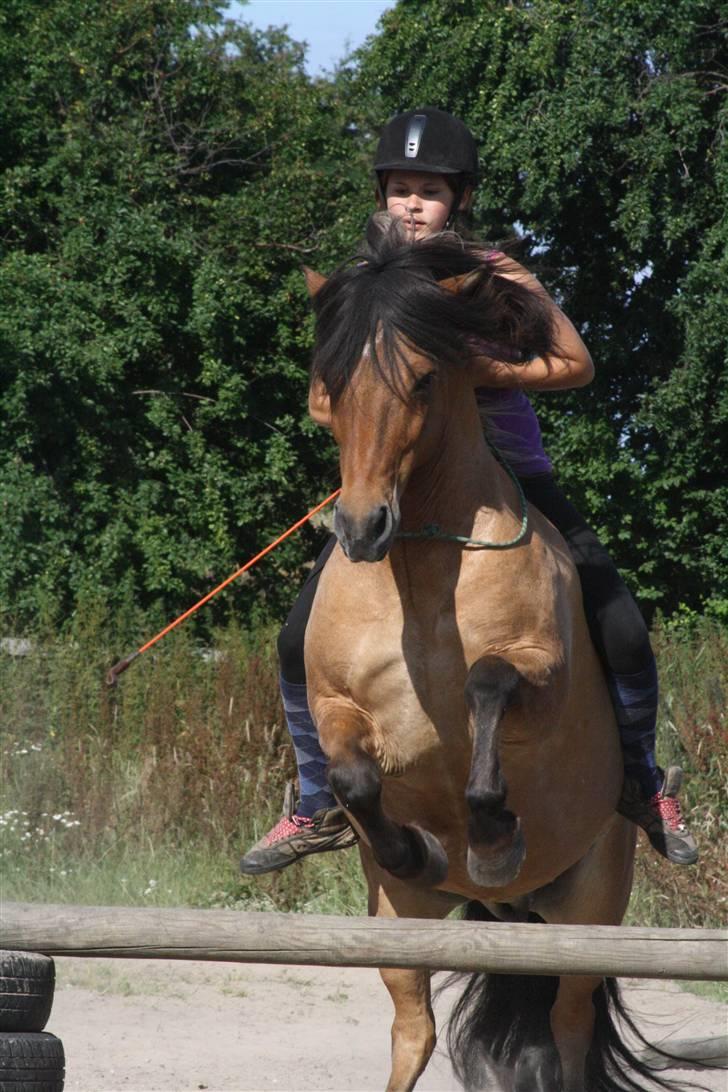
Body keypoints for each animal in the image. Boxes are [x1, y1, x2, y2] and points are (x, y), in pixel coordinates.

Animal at [301, 223, 672, 1092]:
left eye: (424, 378)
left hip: (586, 914)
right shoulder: (334, 700)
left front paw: (494, 838)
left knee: (569, 1032)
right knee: (414, 1030)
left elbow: (488, 685)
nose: (361, 528)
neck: (421, 572)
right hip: (402, 928)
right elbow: (351, 772)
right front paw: (415, 847)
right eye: (332, 383)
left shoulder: (542, 670)